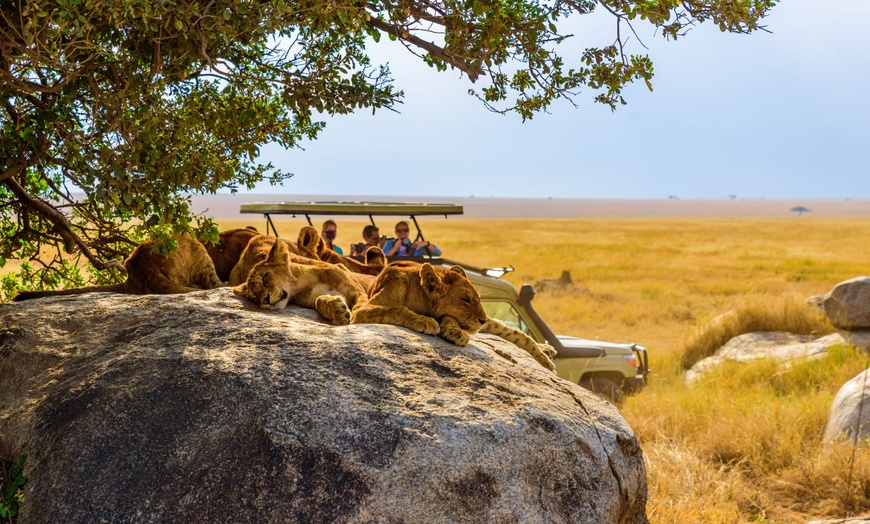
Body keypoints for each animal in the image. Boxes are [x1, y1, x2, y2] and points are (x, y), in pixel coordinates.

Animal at [232, 236, 368, 324]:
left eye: (265, 278)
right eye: (254, 297)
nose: (265, 301)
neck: (304, 284)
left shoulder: (356, 289)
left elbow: (361, 303)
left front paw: (357, 315)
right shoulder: (312, 298)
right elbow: (319, 301)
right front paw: (337, 311)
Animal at [354, 260, 560, 370]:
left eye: (478, 299)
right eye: (466, 300)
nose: (482, 319)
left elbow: (449, 318)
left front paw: (455, 332)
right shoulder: (359, 312)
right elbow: (396, 309)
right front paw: (425, 321)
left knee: (520, 335)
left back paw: (545, 356)